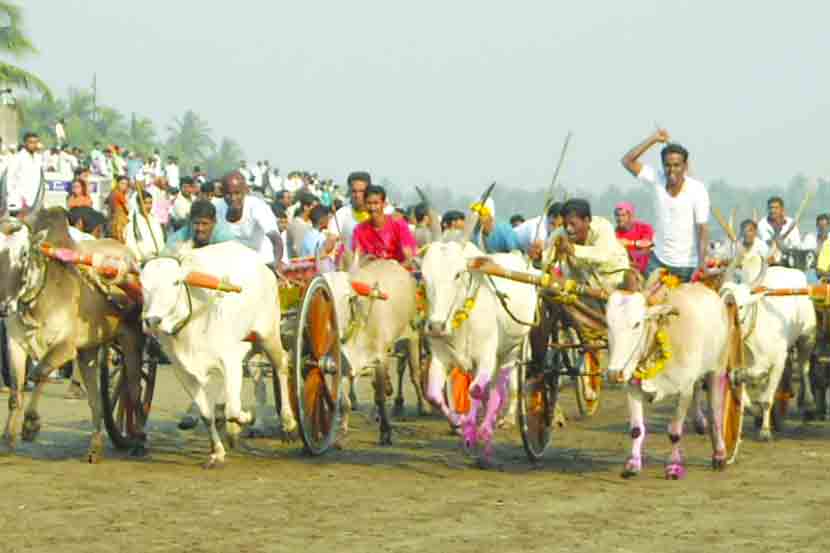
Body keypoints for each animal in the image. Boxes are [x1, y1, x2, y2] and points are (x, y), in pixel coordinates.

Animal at [143, 242, 296, 466]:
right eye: (143, 285)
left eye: (176, 282)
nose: (152, 320)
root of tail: (264, 267)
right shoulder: (183, 372)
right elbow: (207, 415)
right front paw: (217, 451)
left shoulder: (230, 360)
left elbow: (234, 410)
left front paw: (244, 419)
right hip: (251, 347)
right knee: (258, 382)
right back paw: (253, 426)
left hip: (268, 335)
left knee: (282, 365)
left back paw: (288, 423)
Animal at [422, 239, 540, 464]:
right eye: (424, 276)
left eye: (457, 274)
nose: (436, 326)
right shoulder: (441, 358)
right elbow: (433, 396)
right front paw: (460, 424)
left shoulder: (486, 357)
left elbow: (476, 390)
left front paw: (474, 430)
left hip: (512, 350)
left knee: (502, 387)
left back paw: (494, 425)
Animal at [608, 282, 732, 476]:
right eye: (608, 324)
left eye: (636, 324)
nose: (615, 373)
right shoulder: (633, 387)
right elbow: (636, 430)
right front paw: (633, 463)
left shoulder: (684, 390)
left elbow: (675, 432)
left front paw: (673, 465)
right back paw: (700, 423)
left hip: (718, 368)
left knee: (715, 412)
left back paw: (719, 454)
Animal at [720, 260, 820, 438]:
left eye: (740, 306)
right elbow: (745, 394)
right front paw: (757, 413)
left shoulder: (778, 361)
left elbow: (766, 399)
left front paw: (765, 431)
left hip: (807, 338)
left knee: (804, 369)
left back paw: (809, 403)